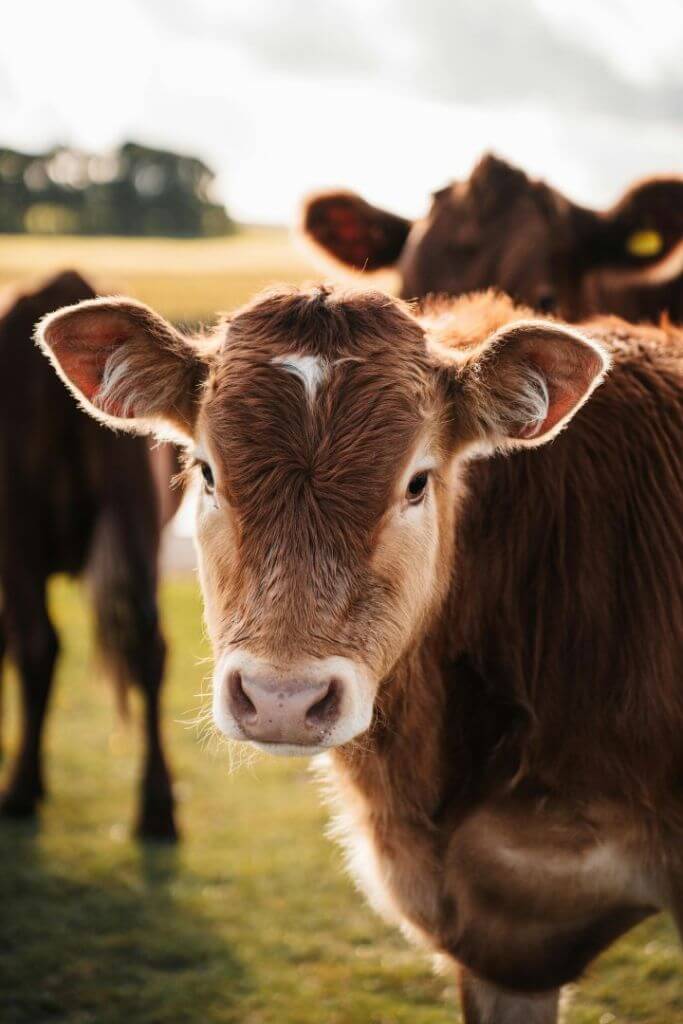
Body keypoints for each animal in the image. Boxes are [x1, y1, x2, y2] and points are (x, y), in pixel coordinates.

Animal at [0, 270, 178, 840]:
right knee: (148, 645)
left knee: (37, 643)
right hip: (139, 513)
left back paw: (20, 790)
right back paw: (157, 810)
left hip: (18, 529)